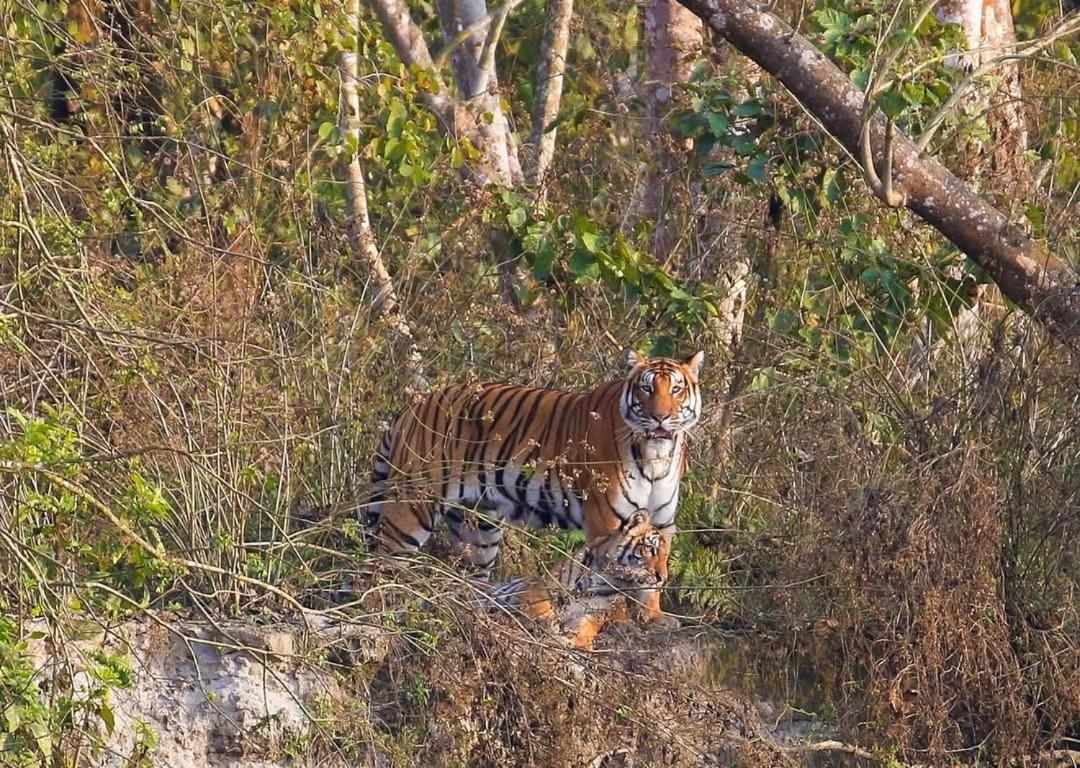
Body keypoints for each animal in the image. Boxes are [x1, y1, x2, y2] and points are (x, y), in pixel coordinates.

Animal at [362, 349, 699, 626]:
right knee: (382, 561)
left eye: (676, 389)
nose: (660, 417)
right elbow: (611, 574)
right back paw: (381, 611)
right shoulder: (607, 519)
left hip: (478, 528)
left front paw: (653, 616)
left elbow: (651, 578)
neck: (656, 456)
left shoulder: (661, 520)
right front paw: (618, 617)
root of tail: (414, 405)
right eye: (646, 388)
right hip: (412, 507)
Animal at [475, 509, 669, 648]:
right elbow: (540, 606)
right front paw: (547, 623)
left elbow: (585, 630)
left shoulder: (593, 614)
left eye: (666, 556)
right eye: (650, 549)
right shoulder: (540, 586)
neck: (606, 578)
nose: (663, 578)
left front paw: (573, 641)